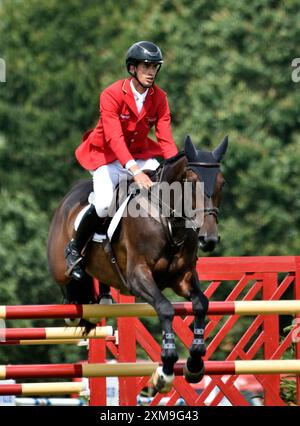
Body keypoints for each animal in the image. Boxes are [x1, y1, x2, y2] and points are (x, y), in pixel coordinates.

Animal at [48, 136, 229, 392]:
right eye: (193, 183)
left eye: (222, 183)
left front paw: (194, 362)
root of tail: (68, 198)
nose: (209, 239)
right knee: (69, 282)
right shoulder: (138, 277)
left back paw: (102, 300)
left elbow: (201, 303)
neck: (168, 221)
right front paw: (165, 370)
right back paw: (74, 279)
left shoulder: (182, 278)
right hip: (58, 265)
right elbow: (165, 308)